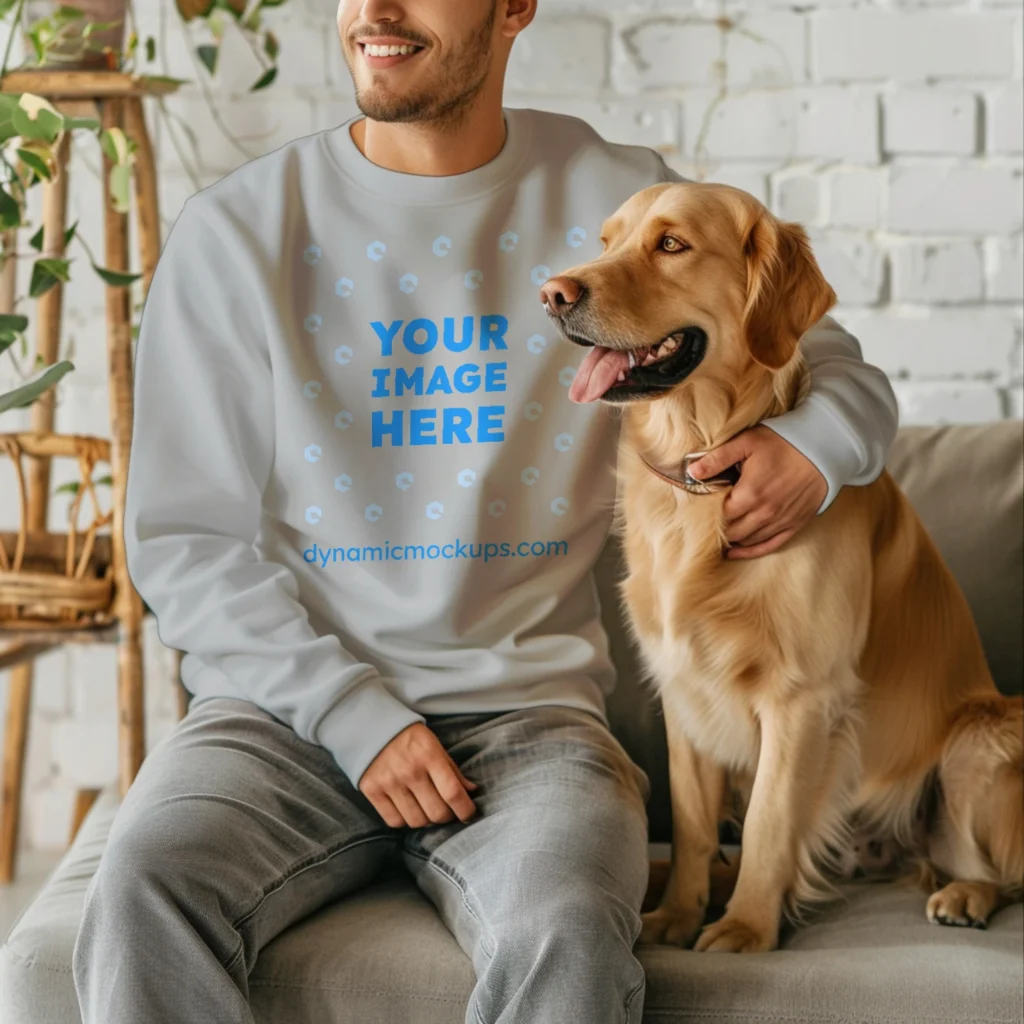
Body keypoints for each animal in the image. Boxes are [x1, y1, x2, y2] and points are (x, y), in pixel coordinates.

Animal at [540, 182, 1019, 950]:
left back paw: (964, 894)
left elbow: (768, 818)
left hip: (981, 739)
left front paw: (744, 931)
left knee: (992, 866)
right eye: (607, 241)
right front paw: (677, 914)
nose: (553, 294)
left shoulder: (803, 697)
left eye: (671, 244)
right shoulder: (683, 689)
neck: (704, 473)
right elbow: (694, 824)